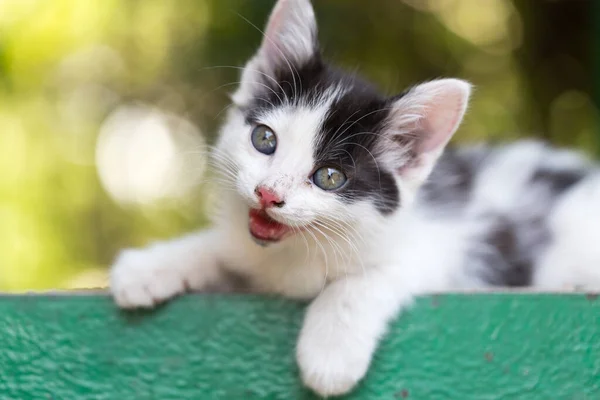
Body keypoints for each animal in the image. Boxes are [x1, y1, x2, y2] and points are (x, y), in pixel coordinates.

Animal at [110, 0, 600, 396]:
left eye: (329, 177)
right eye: (264, 140)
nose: (268, 194)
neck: (296, 252)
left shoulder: (443, 250)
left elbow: (367, 279)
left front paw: (329, 352)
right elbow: (225, 249)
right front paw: (150, 268)